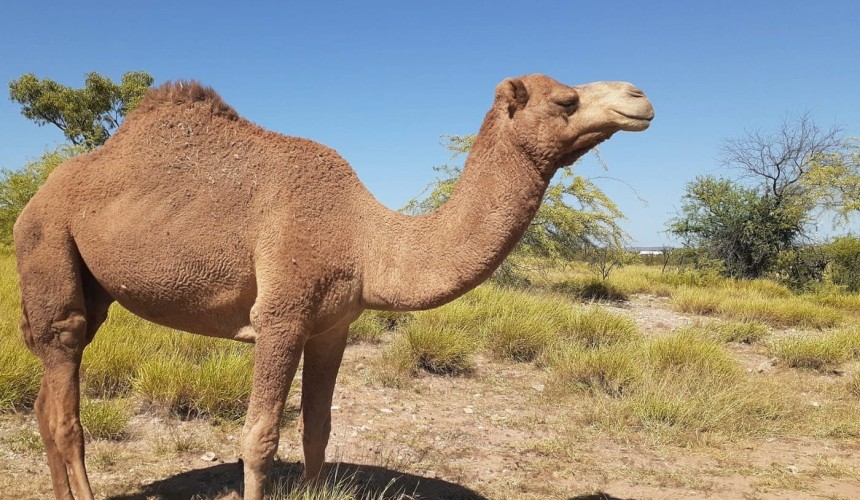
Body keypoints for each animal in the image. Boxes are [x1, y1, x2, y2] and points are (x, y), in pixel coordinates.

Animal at [14, 74, 653, 499]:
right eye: (566, 99)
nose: (638, 97)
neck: (365, 239)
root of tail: (33, 200)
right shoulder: (280, 315)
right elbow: (260, 437)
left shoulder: (332, 327)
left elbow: (318, 427)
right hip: (49, 244)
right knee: (66, 397)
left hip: (92, 285)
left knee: (48, 399)